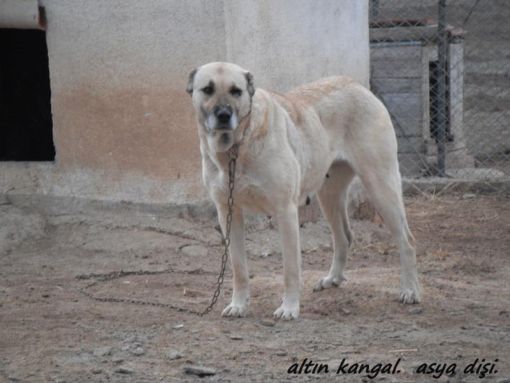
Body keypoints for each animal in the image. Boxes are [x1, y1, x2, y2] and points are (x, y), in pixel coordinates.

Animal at [185, 62, 420, 320]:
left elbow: (290, 269)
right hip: (328, 196)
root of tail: (355, 84)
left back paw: (410, 290)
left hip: (380, 186)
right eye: (208, 89)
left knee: (407, 241)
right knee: (344, 237)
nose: (224, 116)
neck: (236, 148)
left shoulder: (285, 211)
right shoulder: (228, 212)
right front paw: (238, 305)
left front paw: (289, 308)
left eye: (236, 91)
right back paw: (333, 278)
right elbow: (239, 268)